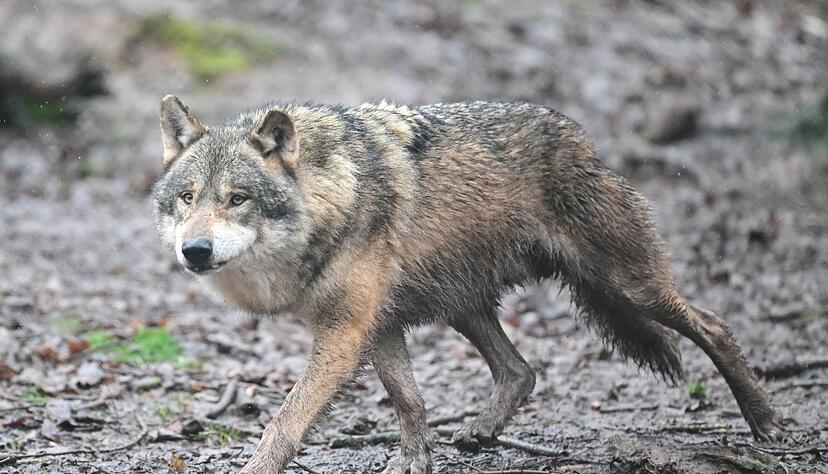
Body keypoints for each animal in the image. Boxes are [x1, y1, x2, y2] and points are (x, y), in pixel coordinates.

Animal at [152, 95, 783, 474]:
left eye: (238, 199)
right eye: (187, 197)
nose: (194, 250)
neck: (332, 198)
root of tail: (578, 137)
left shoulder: (346, 330)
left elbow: (285, 422)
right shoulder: (377, 326)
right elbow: (409, 401)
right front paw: (415, 463)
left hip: (628, 285)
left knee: (715, 326)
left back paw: (765, 422)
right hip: (461, 305)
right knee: (522, 371)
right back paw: (480, 433)